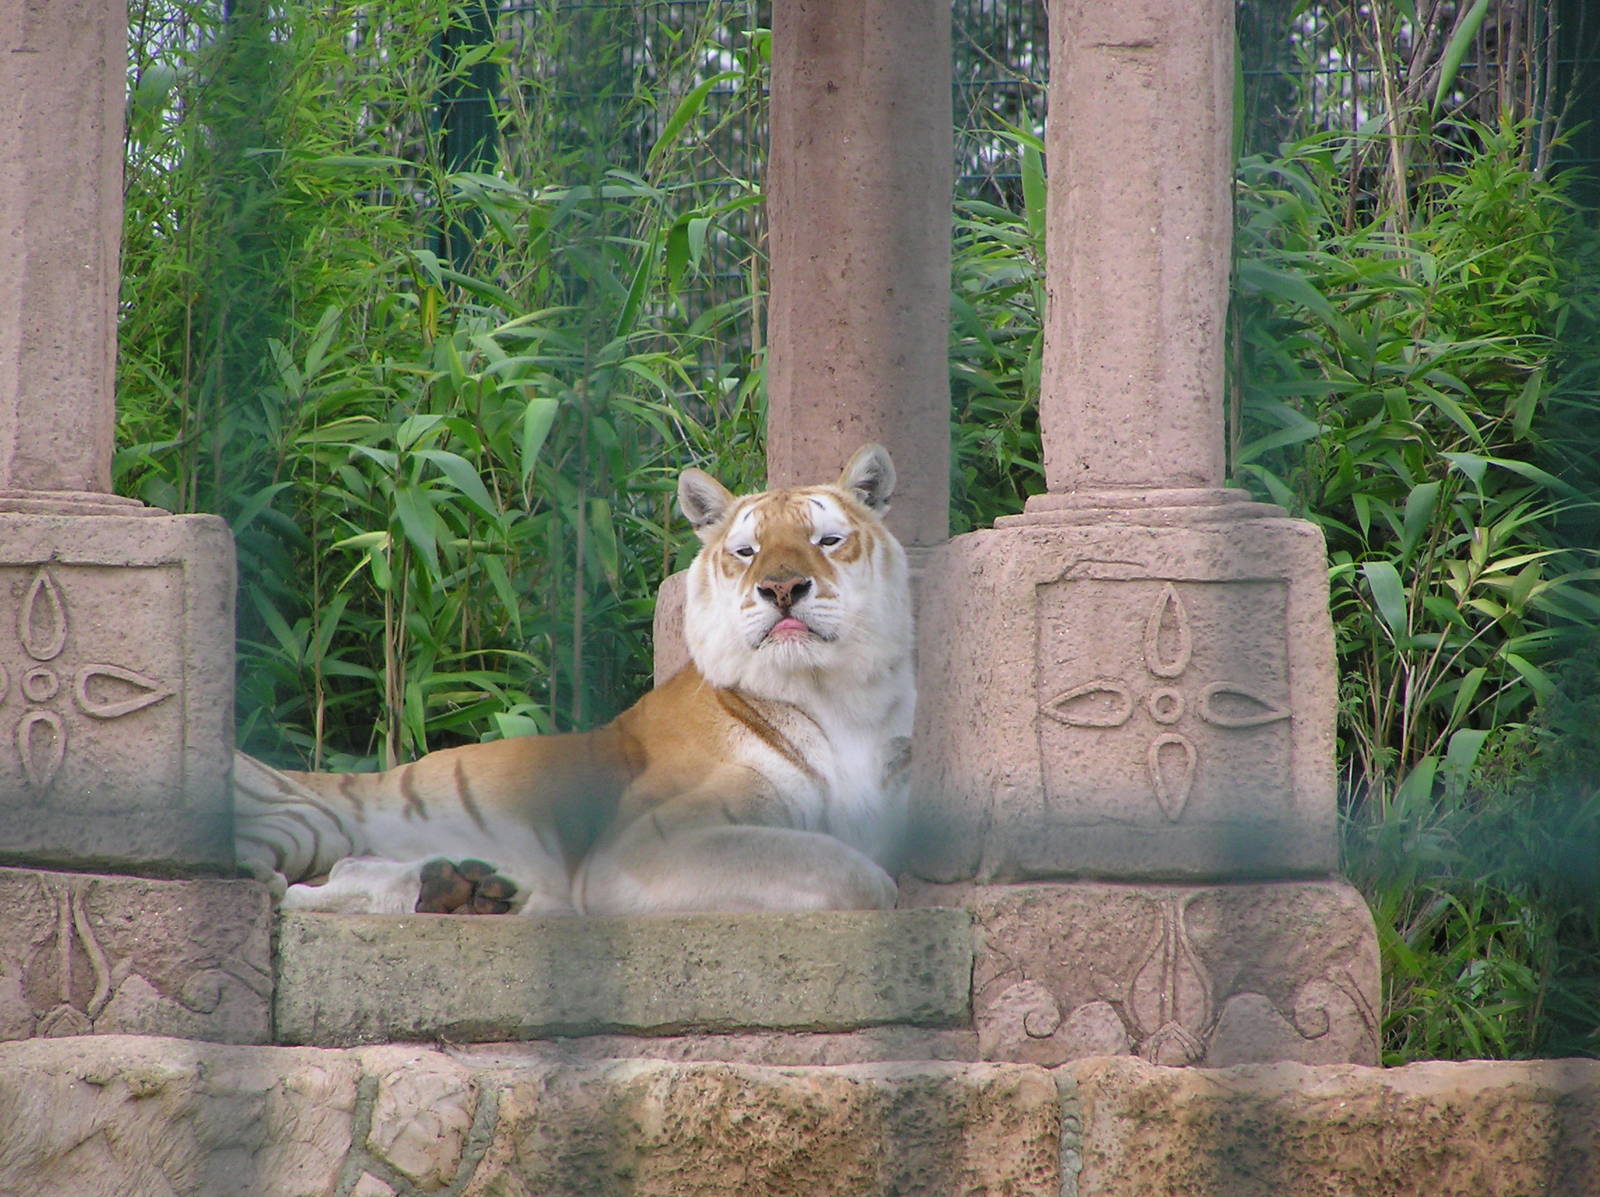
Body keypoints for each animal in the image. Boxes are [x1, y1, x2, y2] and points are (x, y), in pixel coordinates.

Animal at [232, 443, 915, 916]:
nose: (782, 588)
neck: (836, 696)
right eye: (746, 552)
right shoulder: (647, 843)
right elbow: (855, 873)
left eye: (828, 540)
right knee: (286, 884)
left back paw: (467, 887)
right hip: (303, 819)